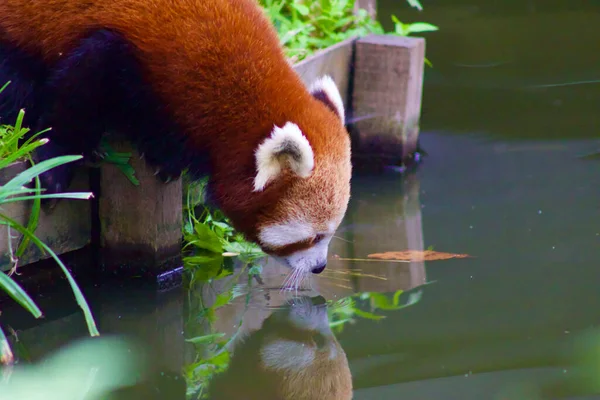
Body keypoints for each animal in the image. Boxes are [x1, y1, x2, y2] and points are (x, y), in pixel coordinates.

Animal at [0, 0, 352, 276]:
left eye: (331, 232)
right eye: (313, 237)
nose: (320, 267)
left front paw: (166, 158)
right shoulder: (143, 60)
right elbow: (82, 84)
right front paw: (54, 167)